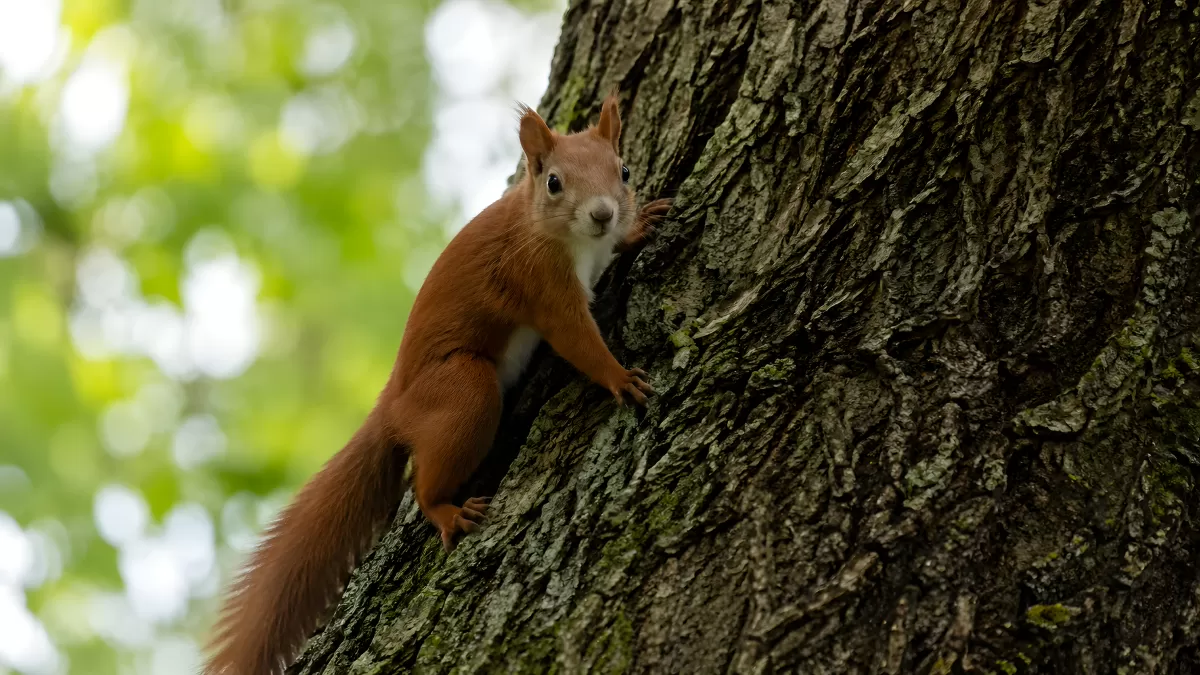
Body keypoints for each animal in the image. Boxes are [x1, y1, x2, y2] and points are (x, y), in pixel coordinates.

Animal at [203, 93, 673, 675]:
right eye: (554, 183)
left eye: (624, 170)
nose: (604, 213)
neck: (560, 235)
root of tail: (392, 405)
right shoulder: (539, 282)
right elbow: (575, 338)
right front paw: (620, 378)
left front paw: (638, 226)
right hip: (462, 389)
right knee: (422, 485)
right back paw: (447, 511)